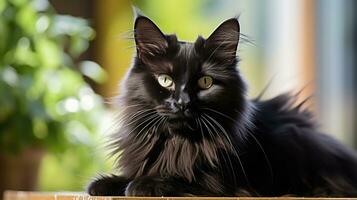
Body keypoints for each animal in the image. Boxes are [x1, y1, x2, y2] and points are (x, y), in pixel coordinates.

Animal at [86, 12, 356, 197]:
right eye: (165, 80)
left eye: (205, 82)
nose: (182, 102)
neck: (178, 143)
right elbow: (132, 172)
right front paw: (105, 183)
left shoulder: (223, 181)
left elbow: (182, 177)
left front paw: (144, 184)